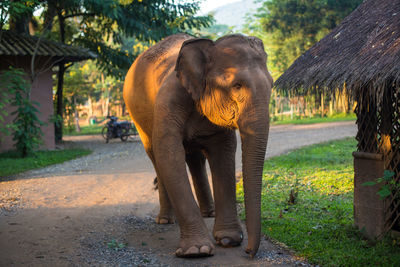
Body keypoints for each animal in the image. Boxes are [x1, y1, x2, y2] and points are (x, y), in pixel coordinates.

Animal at [122, 33, 272, 258]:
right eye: (237, 85)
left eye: (272, 84)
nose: (248, 251)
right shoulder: (168, 100)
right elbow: (169, 152)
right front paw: (196, 250)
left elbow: (224, 152)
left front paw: (228, 240)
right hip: (137, 118)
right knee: (156, 156)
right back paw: (165, 220)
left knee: (195, 158)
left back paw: (208, 212)